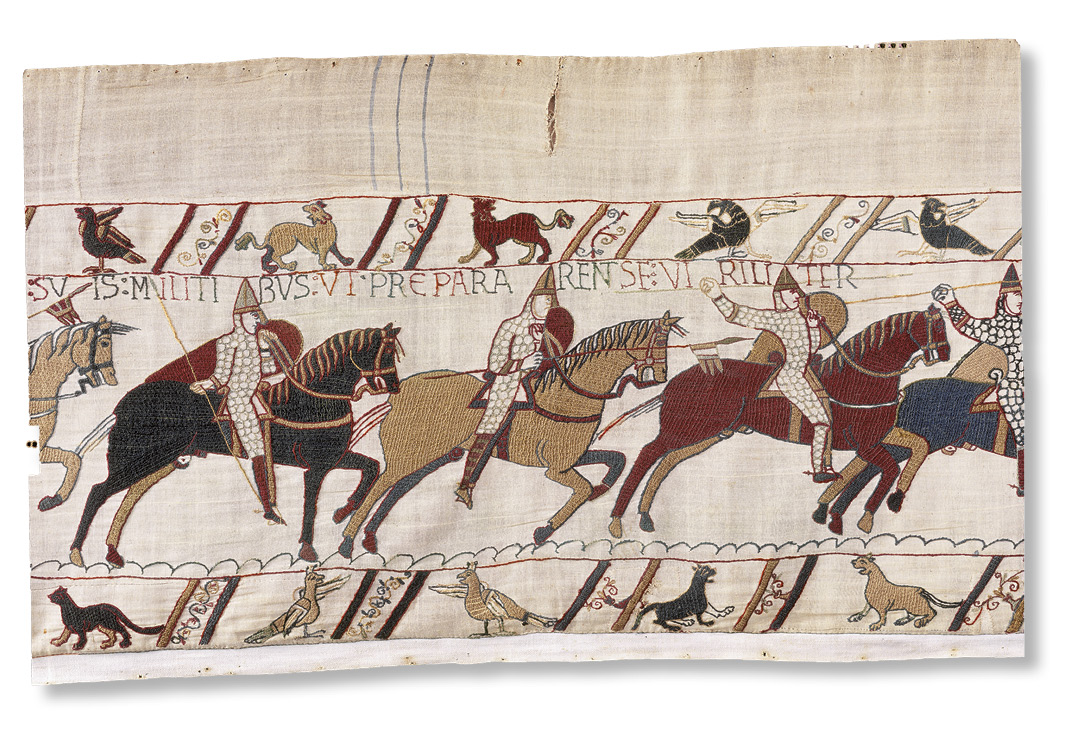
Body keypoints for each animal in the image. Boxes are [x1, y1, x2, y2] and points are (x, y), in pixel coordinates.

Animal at [68, 325, 403, 568]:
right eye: (383, 353)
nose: (394, 386)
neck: (313, 399)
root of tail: (124, 404)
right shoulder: (316, 467)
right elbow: (311, 504)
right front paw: (308, 547)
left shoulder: (334, 458)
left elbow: (371, 467)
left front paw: (343, 511)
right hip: (142, 458)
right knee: (98, 491)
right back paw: (76, 553)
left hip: (160, 461)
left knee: (130, 496)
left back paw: (112, 553)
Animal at [333, 313, 683, 557]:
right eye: (658, 341)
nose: (661, 376)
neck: (570, 393)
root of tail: (401, 392)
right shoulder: (556, 469)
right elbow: (582, 489)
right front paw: (543, 531)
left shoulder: (573, 458)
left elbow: (616, 460)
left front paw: (601, 490)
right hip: (409, 454)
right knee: (382, 485)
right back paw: (348, 540)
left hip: (432, 454)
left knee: (398, 488)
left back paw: (368, 537)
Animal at [605, 306, 949, 538]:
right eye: (936, 328)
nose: (945, 354)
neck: (860, 378)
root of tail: (675, 381)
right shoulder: (863, 443)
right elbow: (887, 468)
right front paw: (864, 516)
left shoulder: (877, 437)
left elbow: (919, 446)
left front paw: (891, 500)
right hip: (686, 430)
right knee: (648, 454)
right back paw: (617, 520)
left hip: (706, 433)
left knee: (666, 461)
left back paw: (644, 517)